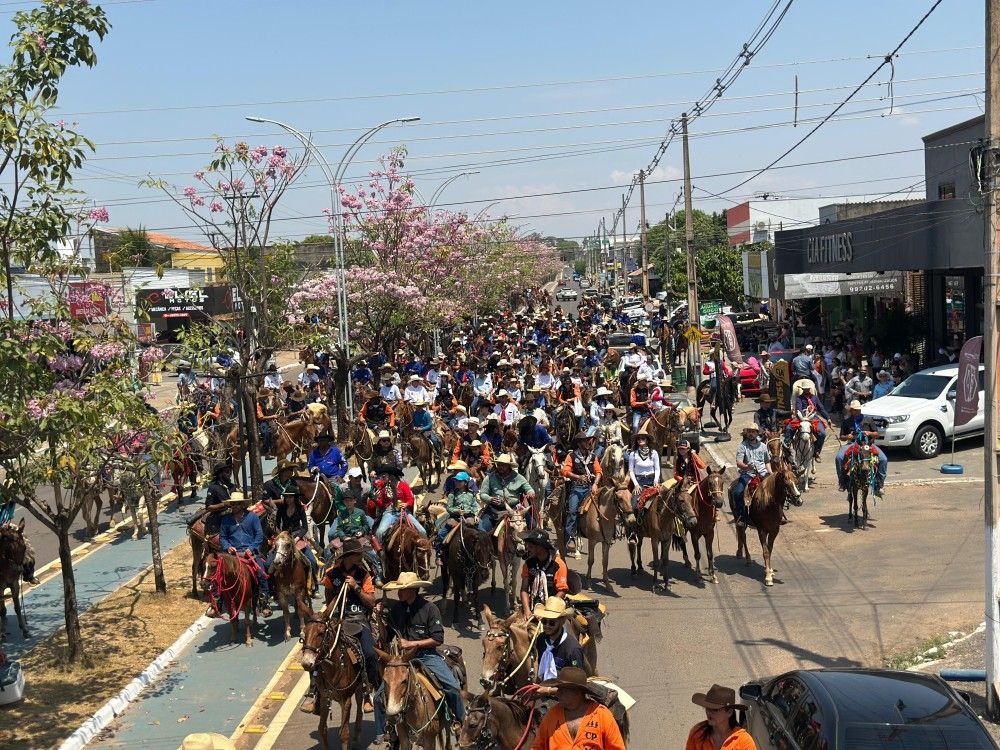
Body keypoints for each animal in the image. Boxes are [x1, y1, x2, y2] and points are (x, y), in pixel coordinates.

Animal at [299, 599, 368, 750]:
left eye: (321, 633)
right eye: (304, 633)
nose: (306, 663)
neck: (334, 667)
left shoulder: (346, 701)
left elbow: (344, 733)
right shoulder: (325, 698)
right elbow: (322, 729)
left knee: (361, 707)